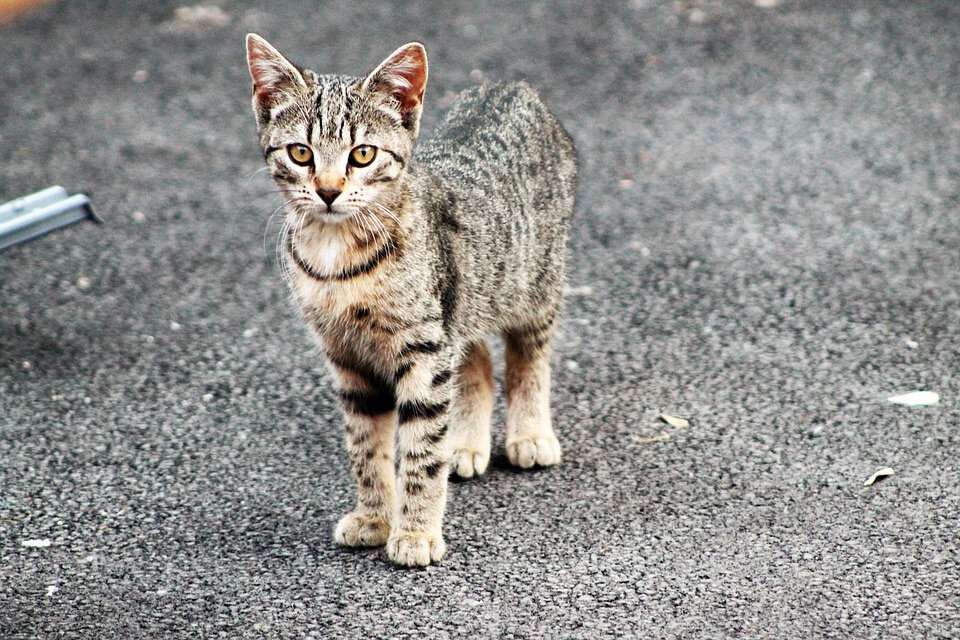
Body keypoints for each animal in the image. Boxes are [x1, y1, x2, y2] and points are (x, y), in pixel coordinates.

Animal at [248, 35, 576, 564]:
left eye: (362, 155)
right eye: (301, 153)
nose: (328, 191)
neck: (336, 253)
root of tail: (512, 86)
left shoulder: (424, 348)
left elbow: (421, 449)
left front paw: (416, 532)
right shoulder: (348, 356)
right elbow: (367, 448)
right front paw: (375, 518)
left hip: (534, 282)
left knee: (529, 355)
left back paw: (530, 433)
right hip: (463, 299)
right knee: (477, 360)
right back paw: (465, 443)